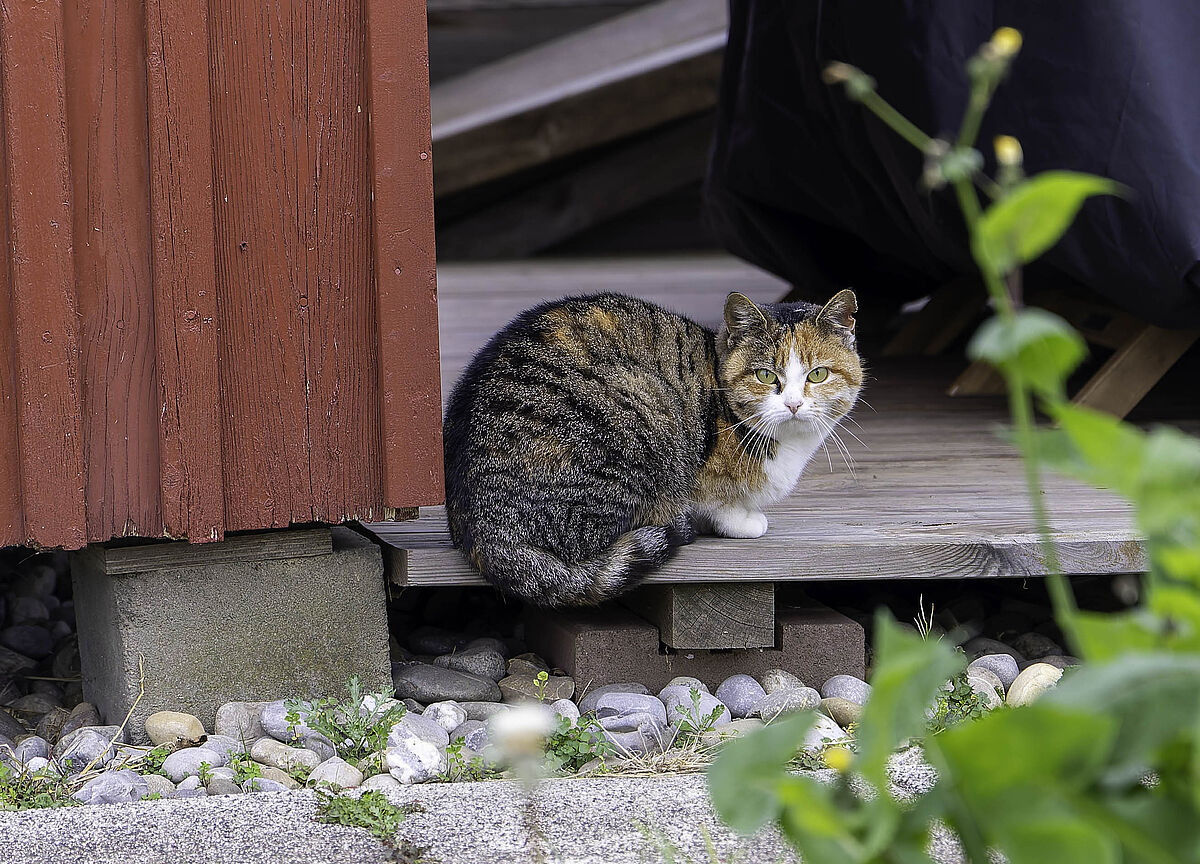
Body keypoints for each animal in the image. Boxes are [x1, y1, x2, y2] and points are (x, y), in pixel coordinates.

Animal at [441, 290, 864, 607]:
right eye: (764, 375)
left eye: (818, 375)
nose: (793, 404)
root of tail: (481, 531)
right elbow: (717, 501)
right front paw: (742, 520)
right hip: (636, 418)